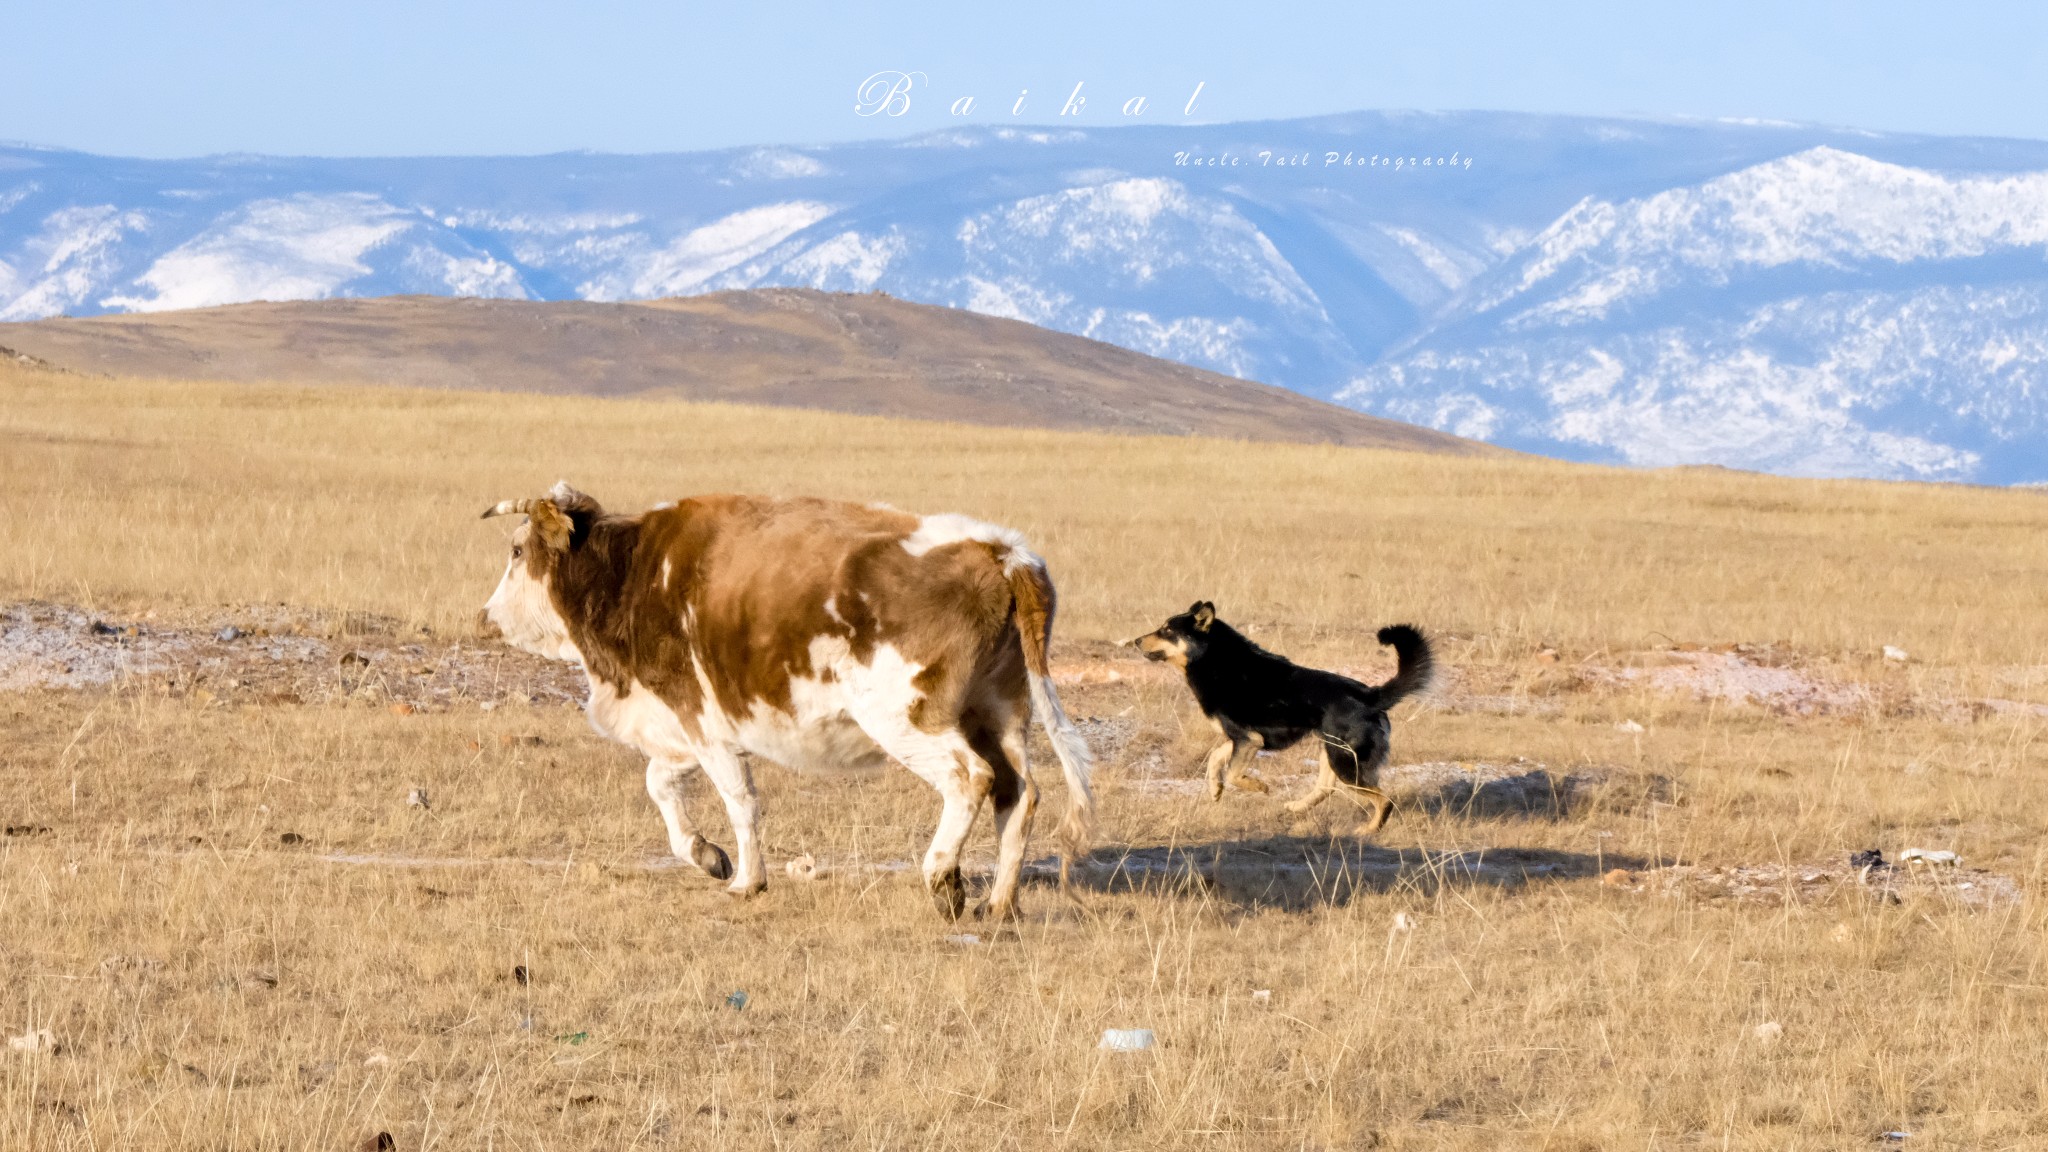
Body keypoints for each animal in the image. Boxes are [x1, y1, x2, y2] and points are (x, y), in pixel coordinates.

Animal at [479, 479, 1097, 918]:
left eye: (516, 550)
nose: (485, 618)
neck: (631, 573)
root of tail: (999, 551)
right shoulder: (683, 725)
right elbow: (661, 783)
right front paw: (706, 854)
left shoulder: (700, 718)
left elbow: (739, 800)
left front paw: (746, 880)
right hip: (998, 714)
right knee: (1020, 793)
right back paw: (1000, 905)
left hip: (908, 718)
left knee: (970, 778)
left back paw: (943, 879)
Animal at [1130, 602, 1433, 824]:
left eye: (1167, 630)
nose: (1135, 641)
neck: (1213, 661)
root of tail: (1372, 695)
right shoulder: (1241, 739)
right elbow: (1215, 759)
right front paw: (1215, 789)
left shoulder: (1248, 739)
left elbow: (1233, 773)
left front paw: (1257, 786)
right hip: (1332, 750)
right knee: (1327, 787)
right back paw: (1298, 807)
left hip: (1345, 760)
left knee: (1384, 800)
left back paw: (1365, 832)